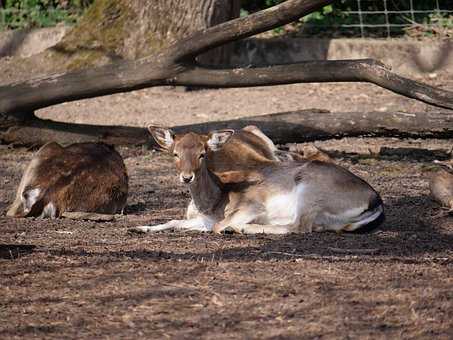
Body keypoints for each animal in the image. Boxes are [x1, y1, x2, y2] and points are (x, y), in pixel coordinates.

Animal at [131, 126, 382, 235]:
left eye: (203, 153)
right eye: (175, 153)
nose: (186, 177)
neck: (213, 203)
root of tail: (376, 200)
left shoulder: (251, 205)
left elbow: (219, 226)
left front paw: (232, 227)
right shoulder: (204, 219)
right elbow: (174, 221)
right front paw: (138, 227)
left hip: (311, 190)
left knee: (299, 227)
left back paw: (241, 228)